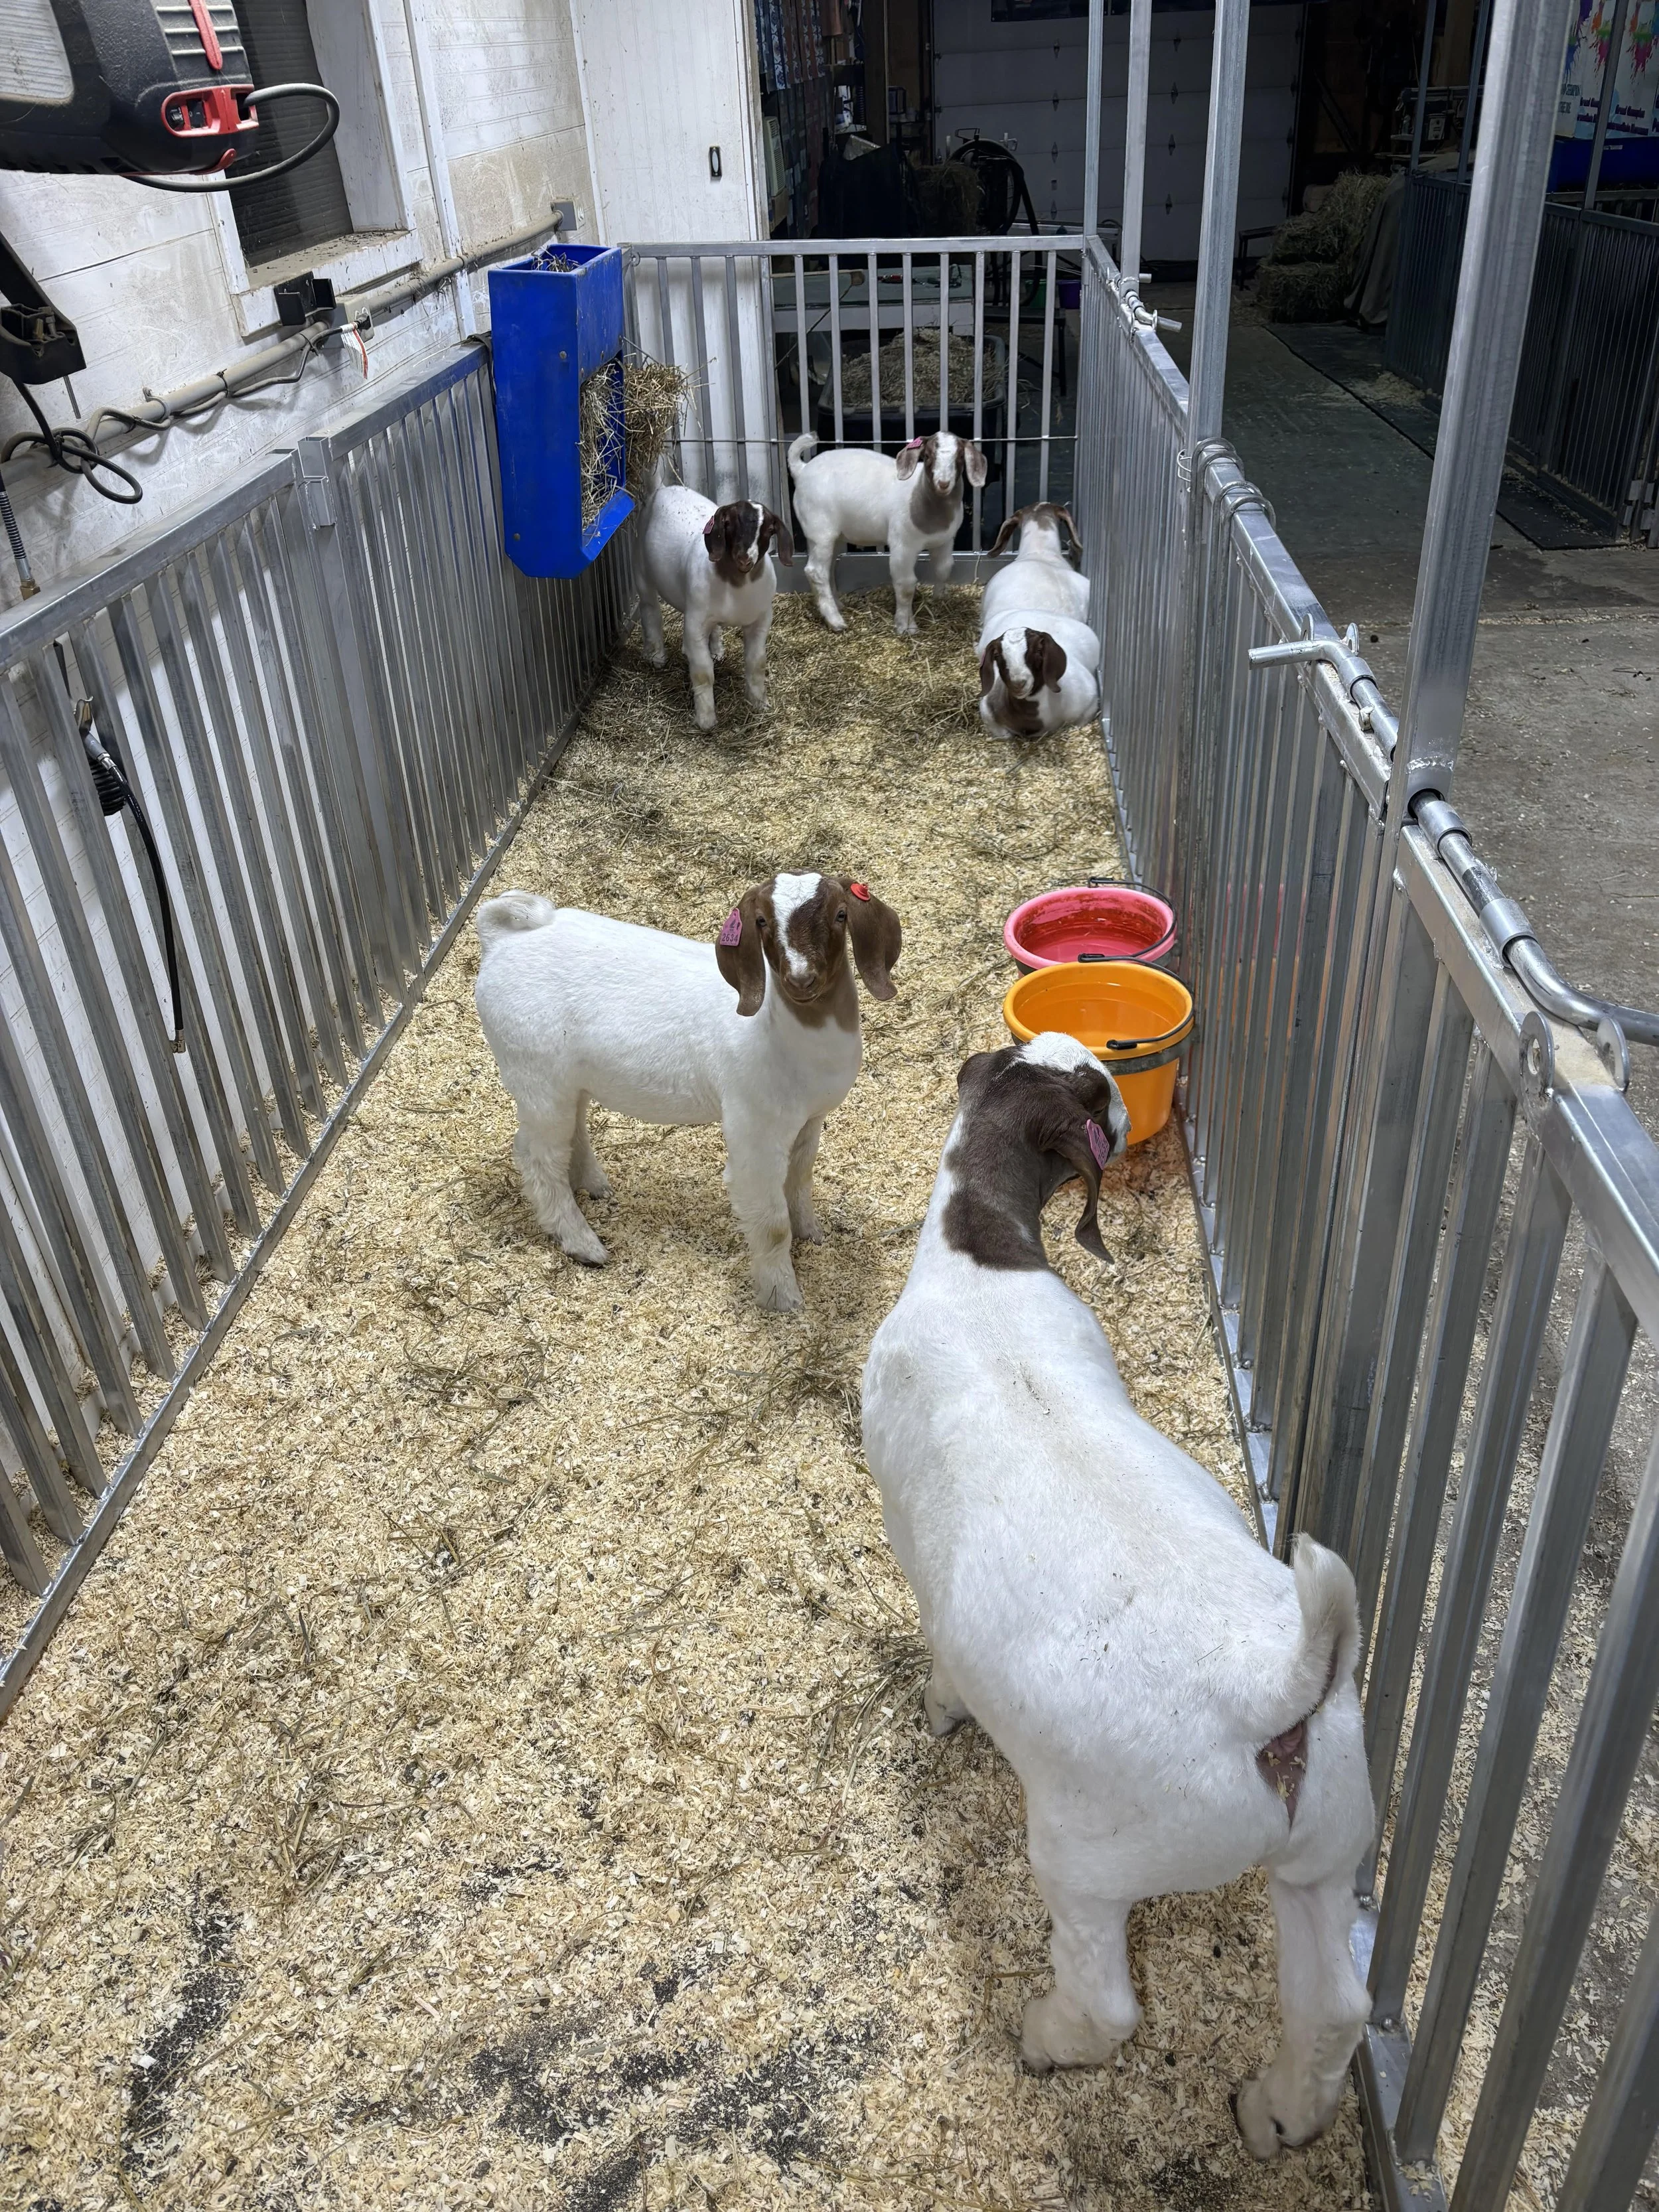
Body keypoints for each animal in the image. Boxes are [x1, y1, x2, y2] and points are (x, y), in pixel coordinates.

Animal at [474, 874, 902, 1312]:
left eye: (841, 914)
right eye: (762, 921)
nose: (800, 980)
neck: (782, 1028)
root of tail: (502, 939)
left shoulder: (809, 1120)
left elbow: (799, 1180)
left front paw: (812, 1233)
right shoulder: (755, 1129)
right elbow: (771, 1223)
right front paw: (784, 1299)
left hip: (565, 1082)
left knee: (571, 1132)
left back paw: (594, 1185)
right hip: (535, 1078)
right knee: (537, 1158)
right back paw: (584, 1244)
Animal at [638, 486, 792, 730]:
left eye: (769, 529)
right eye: (729, 524)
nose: (745, 558)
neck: (737, 585)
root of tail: (665, 487)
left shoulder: (761, 621)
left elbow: (756, 663)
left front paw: (759, 703)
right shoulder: (696, 624)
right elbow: (703, 673)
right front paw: (706, 720)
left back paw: (716, 650)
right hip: (642, 571)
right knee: (650, 610)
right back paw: (656, 656)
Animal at [788, 429, 987, 635]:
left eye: (960, 457)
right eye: (928, 456)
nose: (943, 483)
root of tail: (802, 470)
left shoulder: (945, 540)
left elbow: (944, 568)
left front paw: (939, 599)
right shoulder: (903, 544)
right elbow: (906, 585)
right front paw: (906, 626)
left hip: (834, 536)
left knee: (829, 568)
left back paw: (837, 605)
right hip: (820, 529)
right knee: (816, 571)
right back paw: (835, 621)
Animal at [861, 1032, 1373, 2155]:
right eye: (1086, 1083)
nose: (1126, 1096)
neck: (978, 1258)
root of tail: (1278, 1688)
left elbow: (939, 1649)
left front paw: (939, 1708)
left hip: (1089, 1856)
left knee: (1109, 2006)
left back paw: (1043, 2035)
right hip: (1324, 1849)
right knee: (1335, 2010)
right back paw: (1274, 2115)